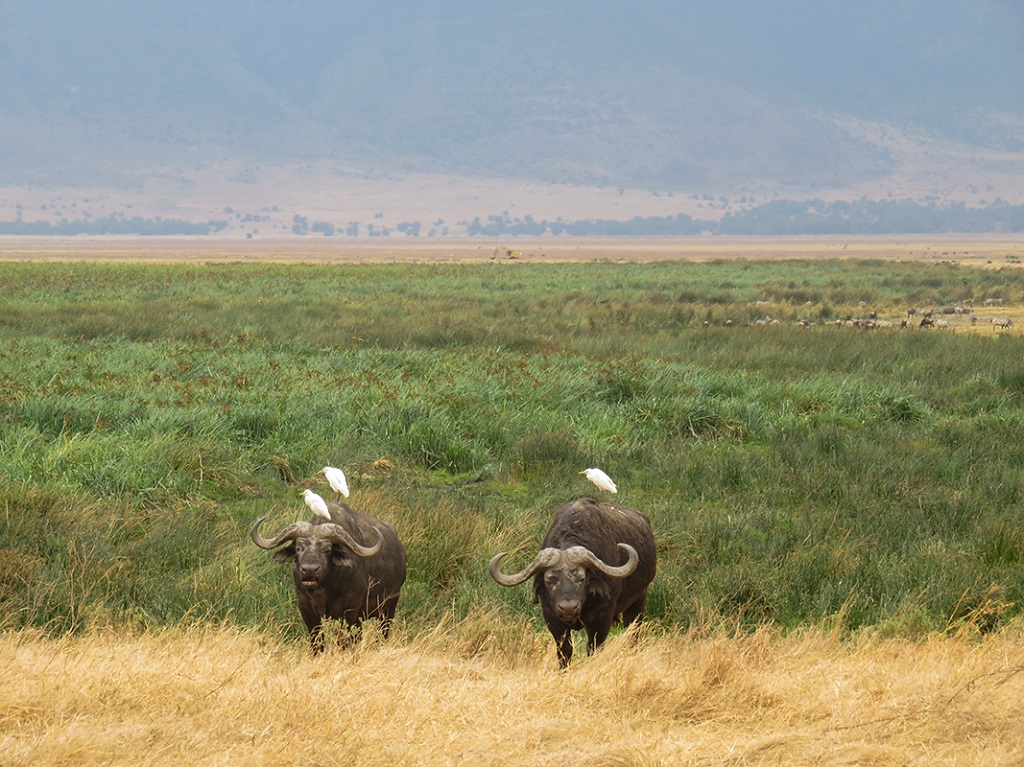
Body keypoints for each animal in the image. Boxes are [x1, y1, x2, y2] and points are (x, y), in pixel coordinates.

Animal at [249, 501, 405, 651]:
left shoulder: (349, 611)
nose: (310, 570)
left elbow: (344, 641)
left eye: (327, 550)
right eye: (298, 548)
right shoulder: (306, 610)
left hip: (388, 608)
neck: (325, 589)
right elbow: (317, 641)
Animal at [487, 497, 655, 663]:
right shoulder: (552, 618)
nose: (568, 608)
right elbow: (565, 651)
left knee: (632, 634)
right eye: (549, 581)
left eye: (581, 578)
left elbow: (594, 648)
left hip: (639, 600)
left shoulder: (602, 617)